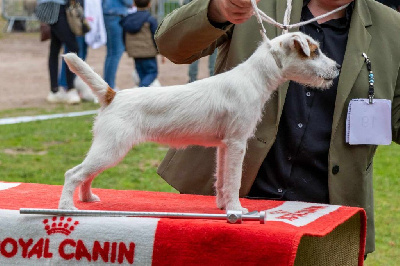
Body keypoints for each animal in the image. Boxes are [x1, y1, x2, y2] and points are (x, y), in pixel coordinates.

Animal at [60, 32, 340, 213]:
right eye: (315, 51)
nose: (337, 67)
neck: (255, 77)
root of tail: (112, 95)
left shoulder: (225, 147)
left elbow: (223, 179)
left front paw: (224, 206)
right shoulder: (237, 143)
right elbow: (234, 180)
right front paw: (237, 209)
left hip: (106, 150)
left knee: (86, 175)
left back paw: (87, 199)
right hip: (111, 149)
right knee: (73, 174)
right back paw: (67, 207)